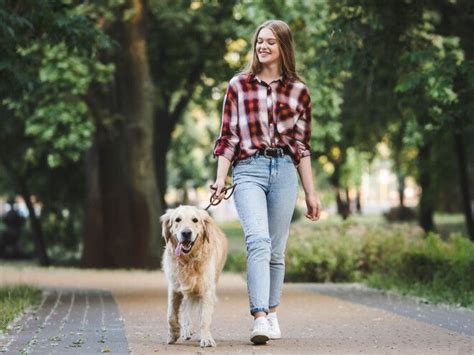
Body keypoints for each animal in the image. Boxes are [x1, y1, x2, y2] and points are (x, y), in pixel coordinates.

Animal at [160, 206, 229, 348]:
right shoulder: (174, 288)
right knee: (185, 306)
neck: (188, 261)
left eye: (195, 220)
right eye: (177, 219)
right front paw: (173, 334)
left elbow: (205, 318)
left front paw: (206, 339)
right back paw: (186, 330)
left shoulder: (207, 289)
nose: (186, 233)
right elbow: (171, 315)